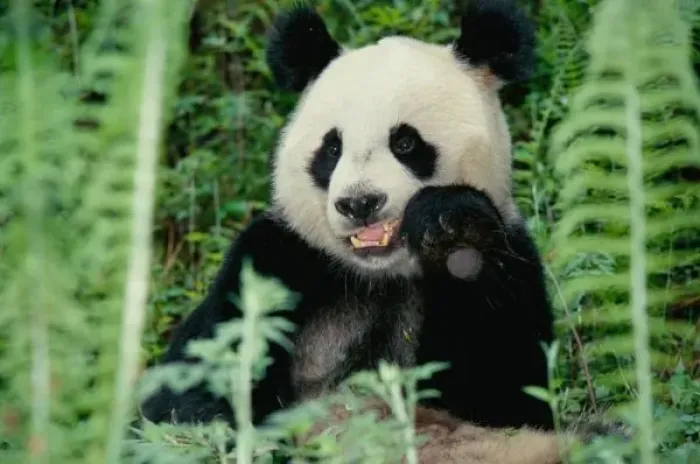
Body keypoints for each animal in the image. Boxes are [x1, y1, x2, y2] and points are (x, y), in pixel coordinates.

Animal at [141, 0, 555, 436]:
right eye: (332, 148)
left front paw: (451, 227)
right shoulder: (272, 259)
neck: (379, 276)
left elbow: (508, 396)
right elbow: (191, 393)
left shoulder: (512, 259)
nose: (359, 203)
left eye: (405, 143)